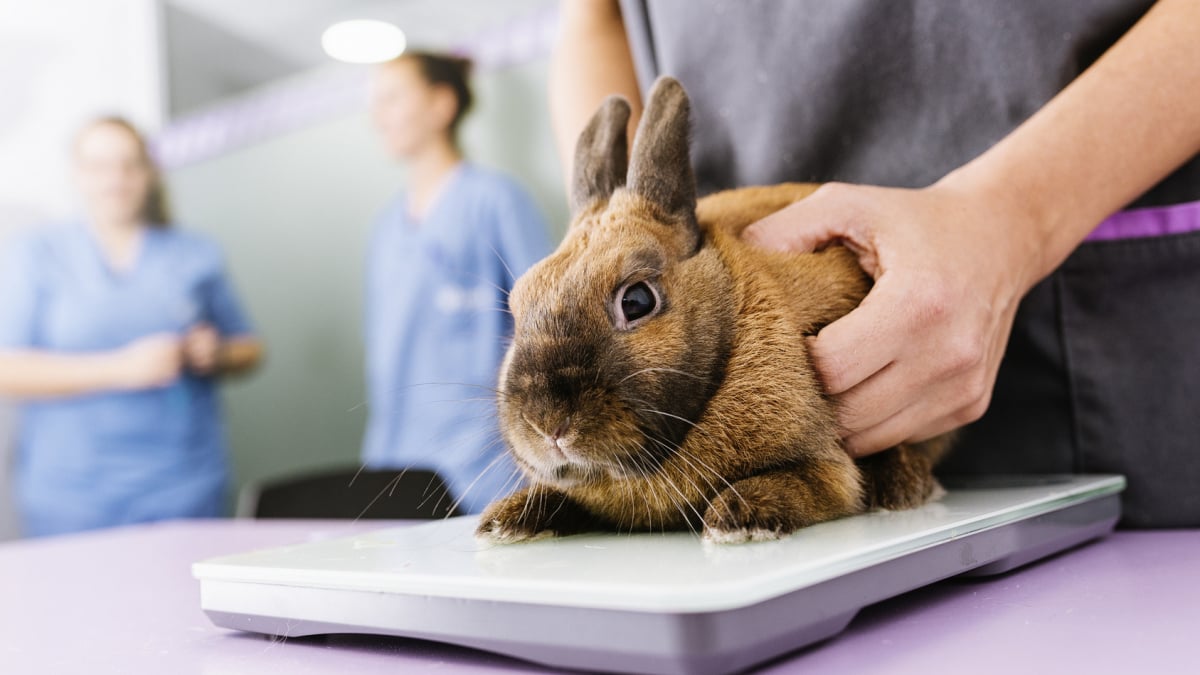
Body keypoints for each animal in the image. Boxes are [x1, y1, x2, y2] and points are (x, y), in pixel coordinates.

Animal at [472, 76, 950, 542]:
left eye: (636, 301)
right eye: (518, 305)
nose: (547, 425)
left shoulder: (826, 470)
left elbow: (804, 485)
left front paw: (736, 518)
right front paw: (505, 521)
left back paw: (903, 488)